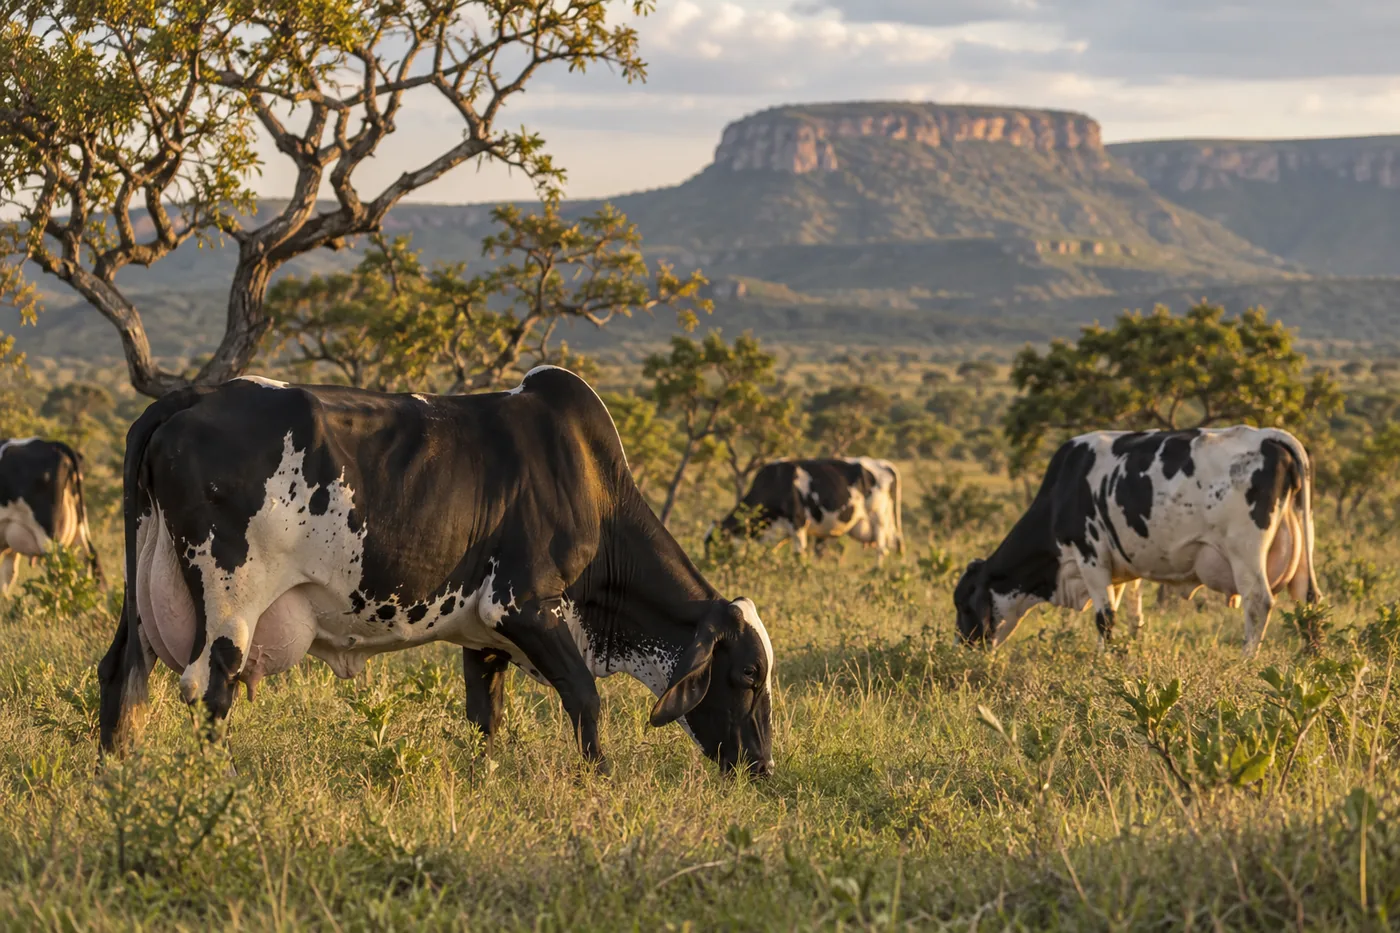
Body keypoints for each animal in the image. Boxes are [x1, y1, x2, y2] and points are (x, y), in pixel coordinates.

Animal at [97, 367, 775, 775]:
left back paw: (114, 777)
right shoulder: (524, 606)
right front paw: (600, 780)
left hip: (145, 596)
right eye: (746, 674)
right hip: (230, 599)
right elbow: (585, 696)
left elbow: (486, 720)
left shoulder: (486, 636)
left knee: (121, 674)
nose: (764, 768)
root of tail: (193, 396)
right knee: (211, 686)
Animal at [707, 457, 904, 559]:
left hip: (879, 518)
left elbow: (798, 554)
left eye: (715, 545)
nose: (708, 566)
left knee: (882, 549)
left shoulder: (798, 522)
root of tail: (886, 464)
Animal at [953, 427, 1319, 655]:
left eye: (963, 604)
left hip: (1245, 551)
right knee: (1308, 601)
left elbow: (1105, 617)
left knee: (1259, 602)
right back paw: (1313, 663)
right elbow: (1134, 616)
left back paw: (1247, 661)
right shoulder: (1123, 568)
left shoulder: (1091, 555)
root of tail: (1268, 436)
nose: (961, 647)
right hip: (1303, 549)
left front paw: (1101, 663)